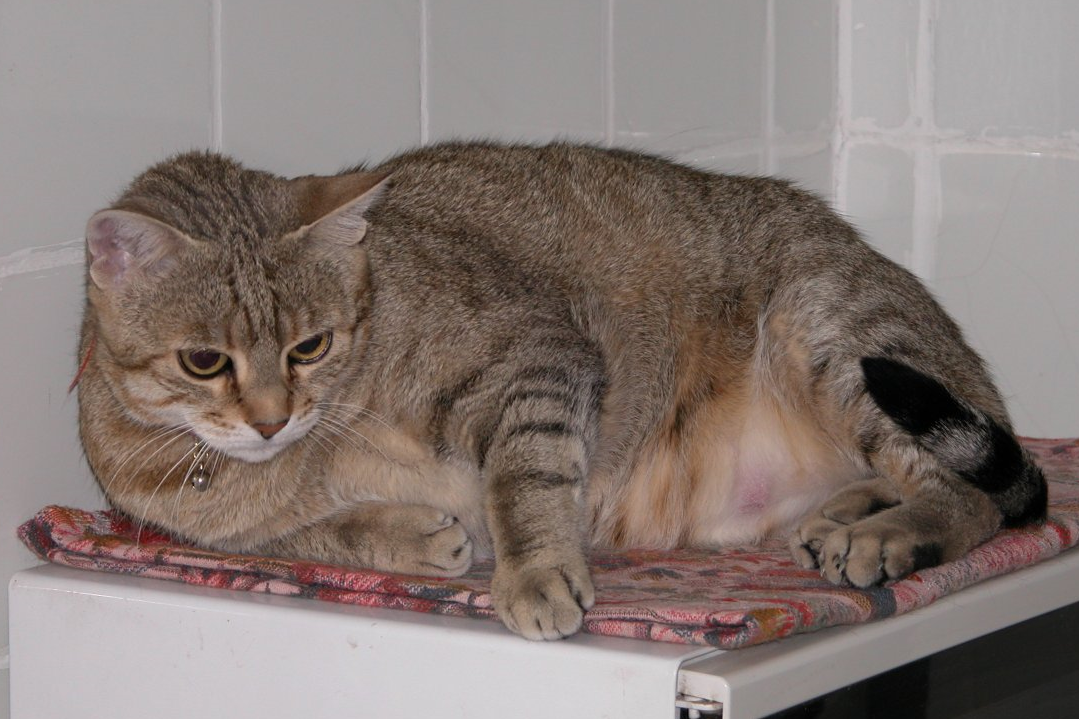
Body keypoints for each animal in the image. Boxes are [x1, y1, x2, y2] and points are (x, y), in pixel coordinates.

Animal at [73, 141, 1044, 639]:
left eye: (309, 344)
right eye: (205, 361)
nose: (273, 418)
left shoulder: (536, 356)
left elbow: (524, 477)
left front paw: (533, 571)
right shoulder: (215, 531)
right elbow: (321, 533)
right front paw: (409, 534)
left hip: (832, 332)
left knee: (973, 495)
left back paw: (889, 533)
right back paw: (842, 515)